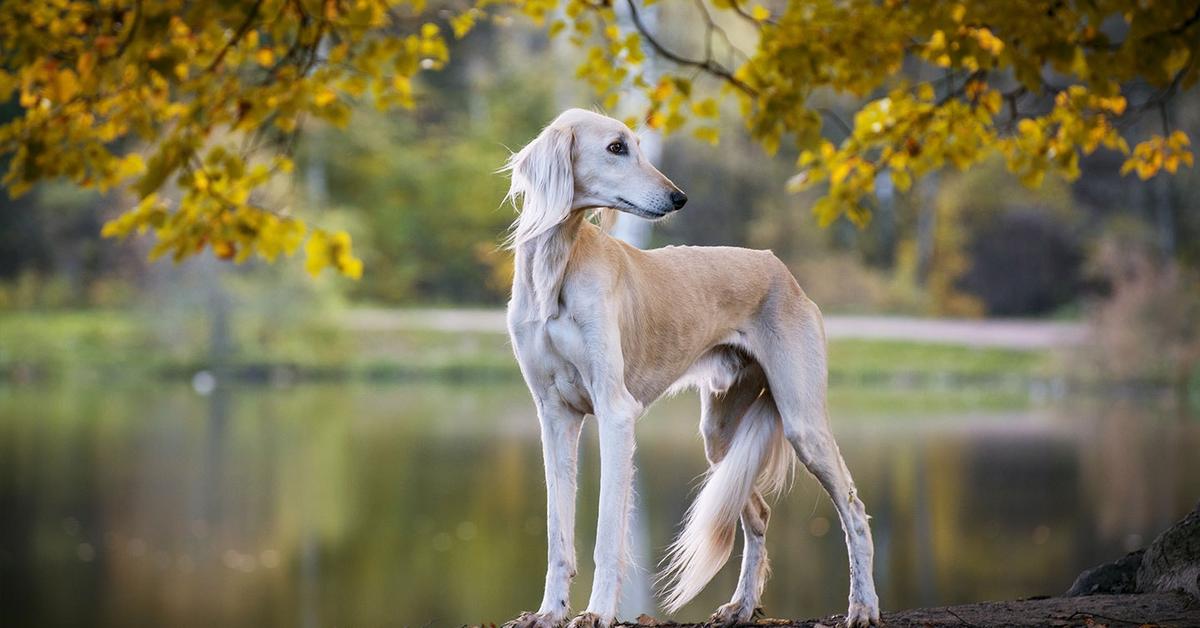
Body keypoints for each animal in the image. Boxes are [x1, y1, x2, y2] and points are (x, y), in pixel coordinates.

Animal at [501, 109, 878, 628]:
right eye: (616, 147)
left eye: (638, 146)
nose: (678, 198)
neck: (556, 267)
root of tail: (781, 269)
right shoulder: (555, 415)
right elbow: (558, 534)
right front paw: (550, 612)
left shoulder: (616, 412)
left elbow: (607, 535)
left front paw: (597, 613)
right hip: (720, 434)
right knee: (757, 514)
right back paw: (742, 606)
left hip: (803, 422)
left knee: (854, 511)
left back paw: (863, 605)